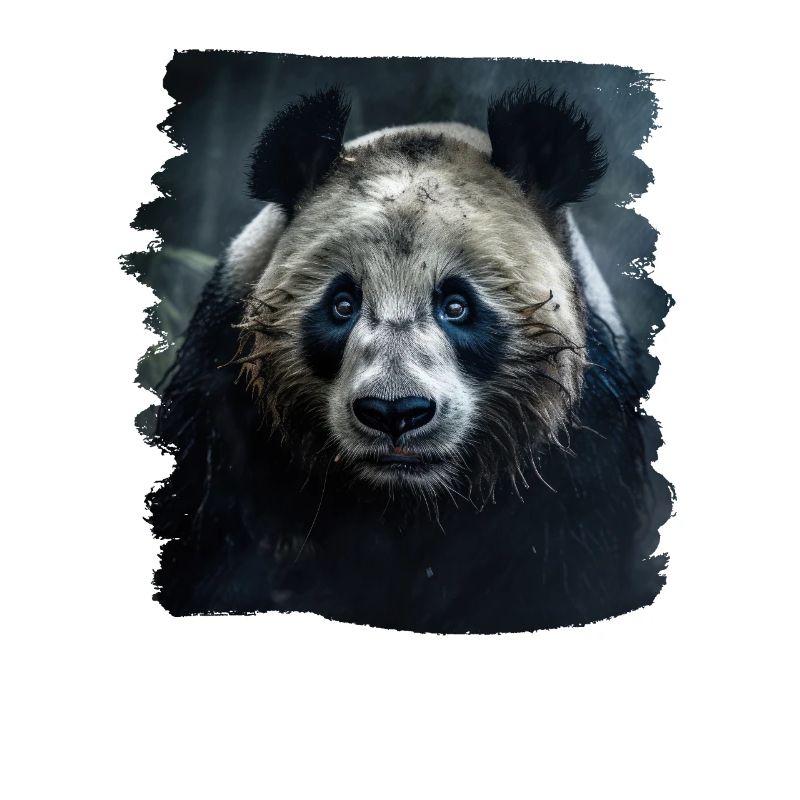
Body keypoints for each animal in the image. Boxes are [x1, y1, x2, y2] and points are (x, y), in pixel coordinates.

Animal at [149, 85, 671, 633]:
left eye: (456, 305)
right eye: (343, 304)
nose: (394, 413)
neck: (403, 499)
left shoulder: (582, 449)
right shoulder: (221, 410)